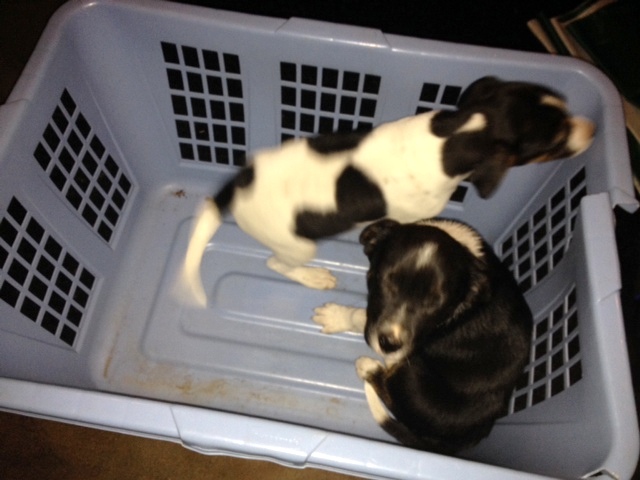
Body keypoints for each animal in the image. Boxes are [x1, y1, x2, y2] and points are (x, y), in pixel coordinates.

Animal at [180, 76, 595, 306]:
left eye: (561, 105)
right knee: (277, 265)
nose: (593, 129)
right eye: (555, 139)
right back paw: (313, 276)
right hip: (298, 245)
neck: (453, 135)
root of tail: (234, 188)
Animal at [313, 218, 533, 454]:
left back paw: (369, 367)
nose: (389, 345)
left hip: (413, 383)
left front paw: (336, 316)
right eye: (385, 281)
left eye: (435, 304)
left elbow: (361, 317)